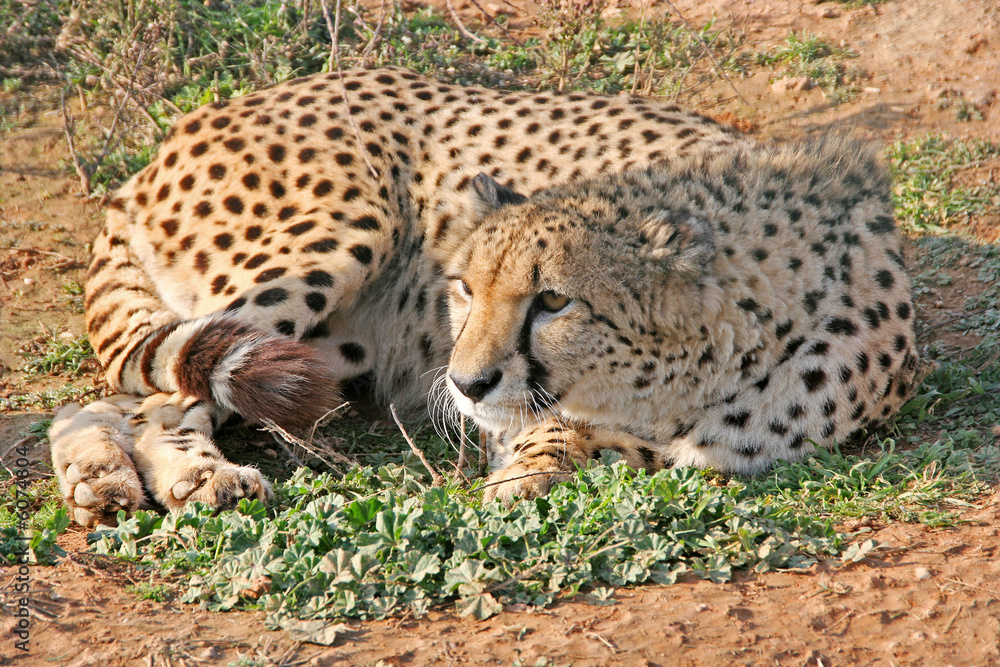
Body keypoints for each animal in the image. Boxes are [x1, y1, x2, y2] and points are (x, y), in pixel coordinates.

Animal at [48, 65, 916, 524]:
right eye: (464, 287)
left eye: (554, 302)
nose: (465, 383)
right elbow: (550, 441)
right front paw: (508, 486)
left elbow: (595, 443)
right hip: (340, 229)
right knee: (141, 397)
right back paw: (193, 477)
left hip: (324, 351)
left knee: (114, 398)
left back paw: (107, 478)